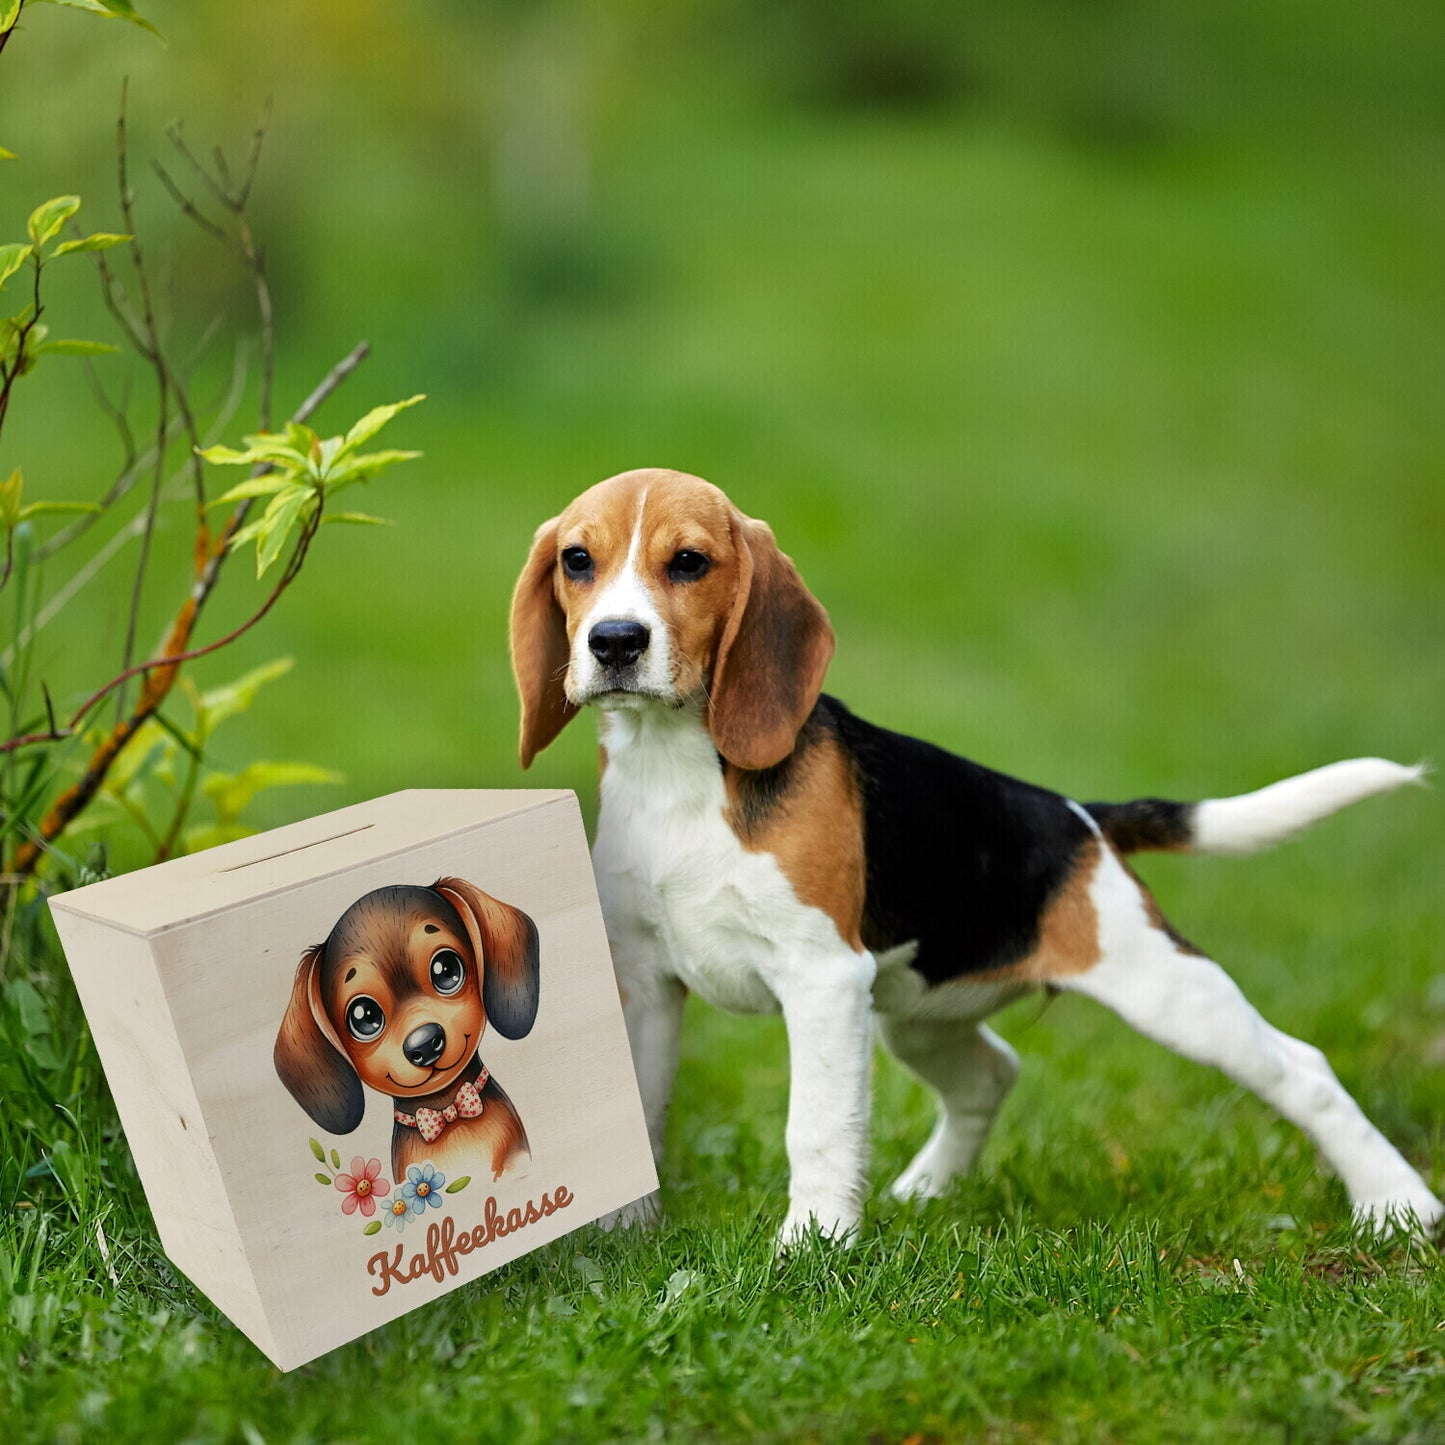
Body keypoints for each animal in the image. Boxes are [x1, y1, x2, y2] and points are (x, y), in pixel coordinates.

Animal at [508, 465, 1433, 1242]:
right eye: (577, 560)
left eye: (689, 563)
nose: (615, 641)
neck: (675, 770)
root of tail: (1079, 816)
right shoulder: (643, 979)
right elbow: (637, 1106)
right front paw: (621, 1238)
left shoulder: (821, 979)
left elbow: (816, 1125)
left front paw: (811, 1246)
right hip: (915, 1011)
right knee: (991, 1072)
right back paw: (926, 1188)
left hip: (1164, 990)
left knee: (1301, 1070)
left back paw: (1397, 1205)